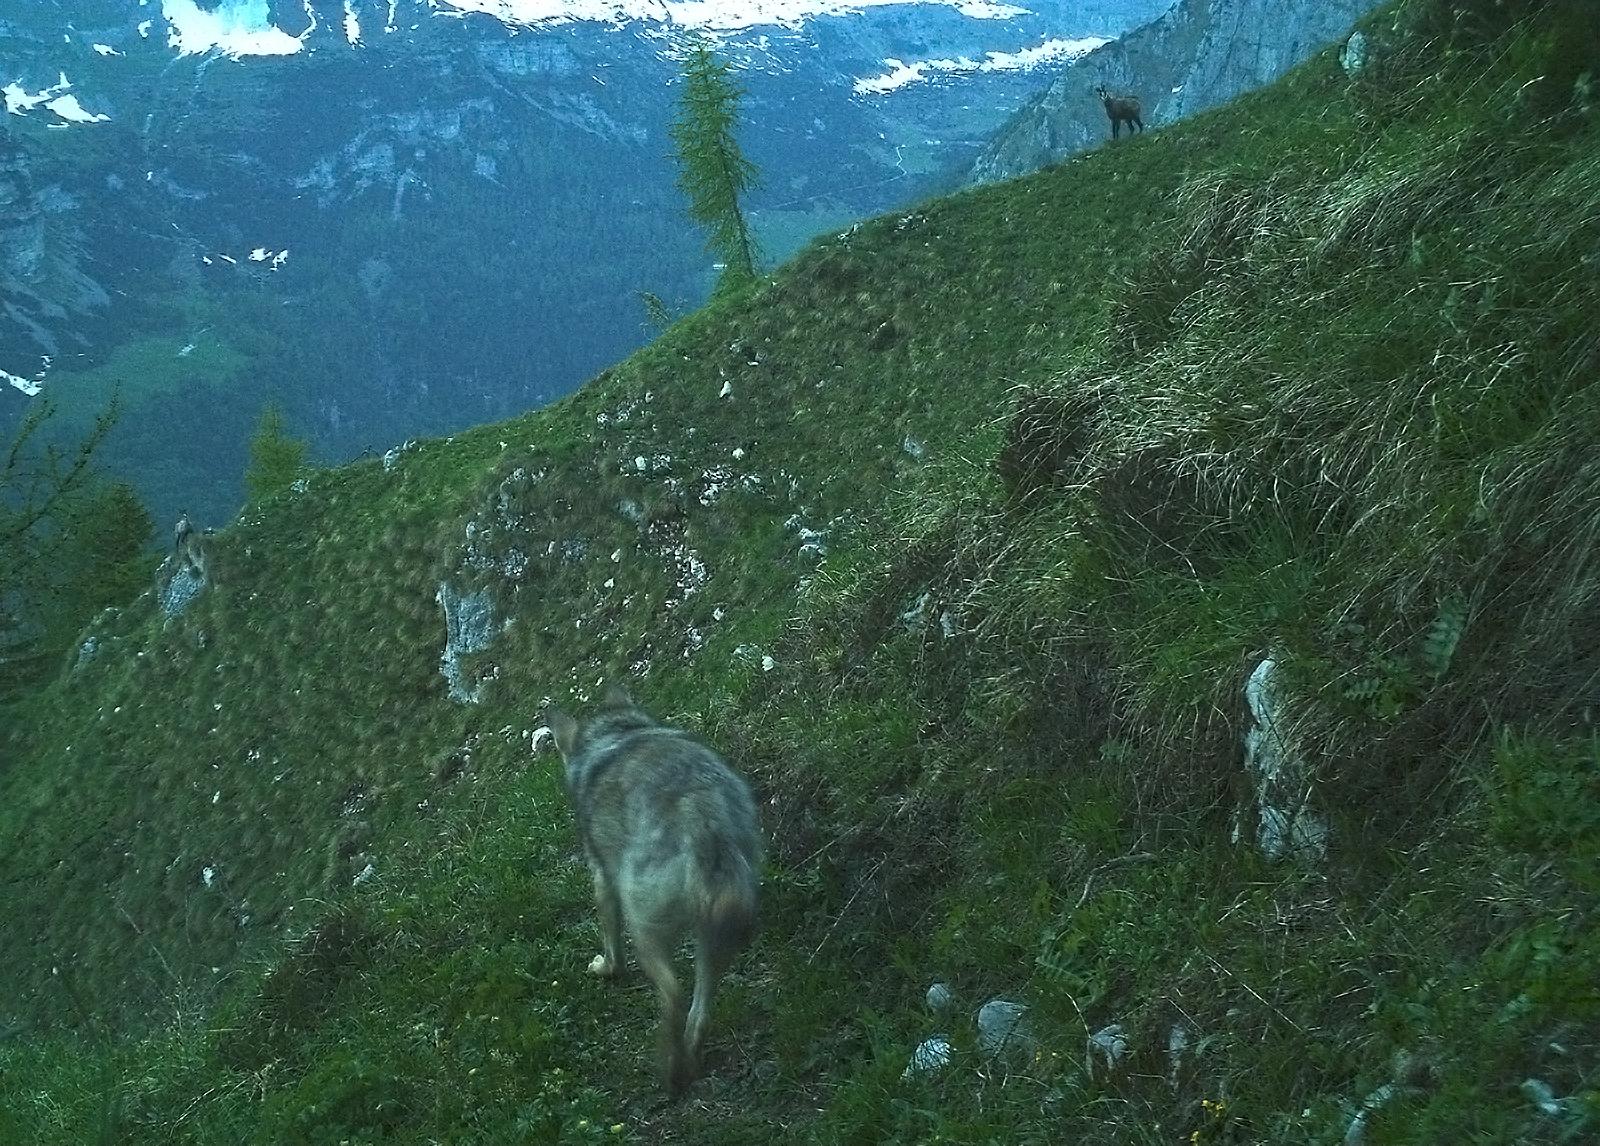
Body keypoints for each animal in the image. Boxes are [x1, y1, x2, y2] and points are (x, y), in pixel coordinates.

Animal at [545, 684, 761, 1095]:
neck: (616, 734)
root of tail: (702, 815)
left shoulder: (602, 879)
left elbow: (611, 945)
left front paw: (605, 969)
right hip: (714, 939)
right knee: (698, 1010)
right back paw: (688, 1059)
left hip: (645, 931)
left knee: (673, 995)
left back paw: (671, 1072)